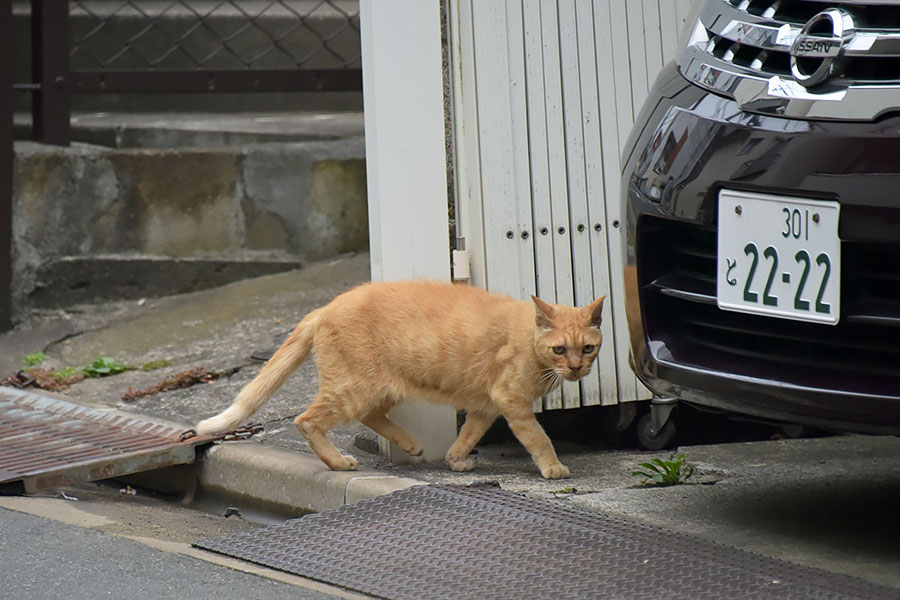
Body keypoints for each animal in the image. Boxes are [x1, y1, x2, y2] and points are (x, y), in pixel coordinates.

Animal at [197, 278, 604, 480]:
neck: (527, 339)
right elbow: (538, 438)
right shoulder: (511, 400)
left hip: (380, 387)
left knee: (370, 416)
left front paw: (456, 460)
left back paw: (410, 444)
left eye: (587, 348)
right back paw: (338, 462)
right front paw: (553, 468)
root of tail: (325, 307)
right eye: (559, 350)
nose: (575, 369)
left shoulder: (488, 404)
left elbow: (469, 434)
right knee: (307, 420)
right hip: (356, 388)